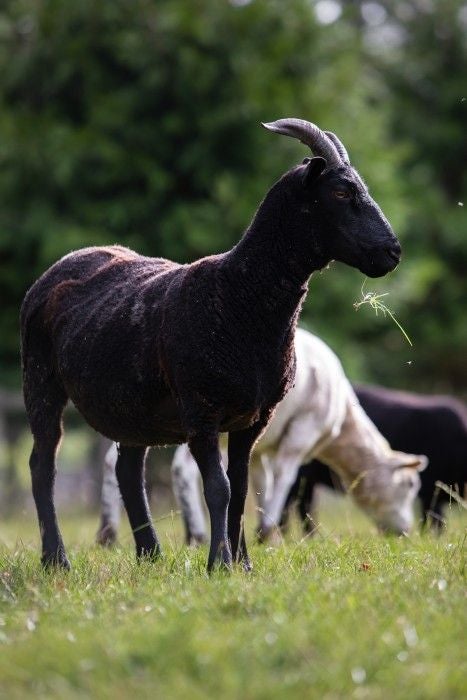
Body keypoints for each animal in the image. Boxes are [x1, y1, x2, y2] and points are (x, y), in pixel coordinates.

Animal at [20, 117, 402, 572]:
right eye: (341, 191)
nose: (392, 252)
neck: (239, 295)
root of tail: (64, 262)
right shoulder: (201, 411)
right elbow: (218, 487)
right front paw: (219, 562)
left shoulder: (254, 418)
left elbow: (241, 487)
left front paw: (243, 563)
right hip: (40, 380)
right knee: (43, 466)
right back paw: (55, 559)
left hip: (131, 404)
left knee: (128, 471)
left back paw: (150, 555)